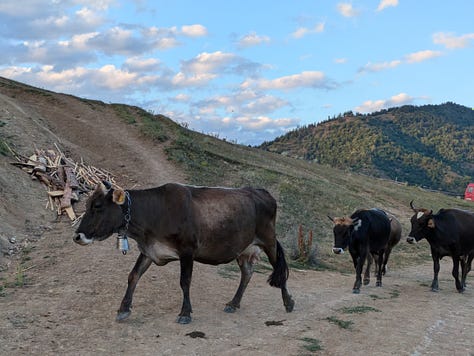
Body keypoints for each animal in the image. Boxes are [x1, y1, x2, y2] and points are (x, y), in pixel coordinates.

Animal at [72, 182, 294, 324]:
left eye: (97, 206)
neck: (155, 212)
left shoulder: (187, 250)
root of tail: (261, 191)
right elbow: (133, 276)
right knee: (247, 273)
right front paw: (123, 309)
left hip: (268, 240)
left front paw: (185, 313)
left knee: (279, 269)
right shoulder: (149, 250)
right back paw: (234, 303)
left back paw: (288, 302)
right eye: (87, 205)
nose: (77, 236)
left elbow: (184, 281)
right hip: (244, 247)